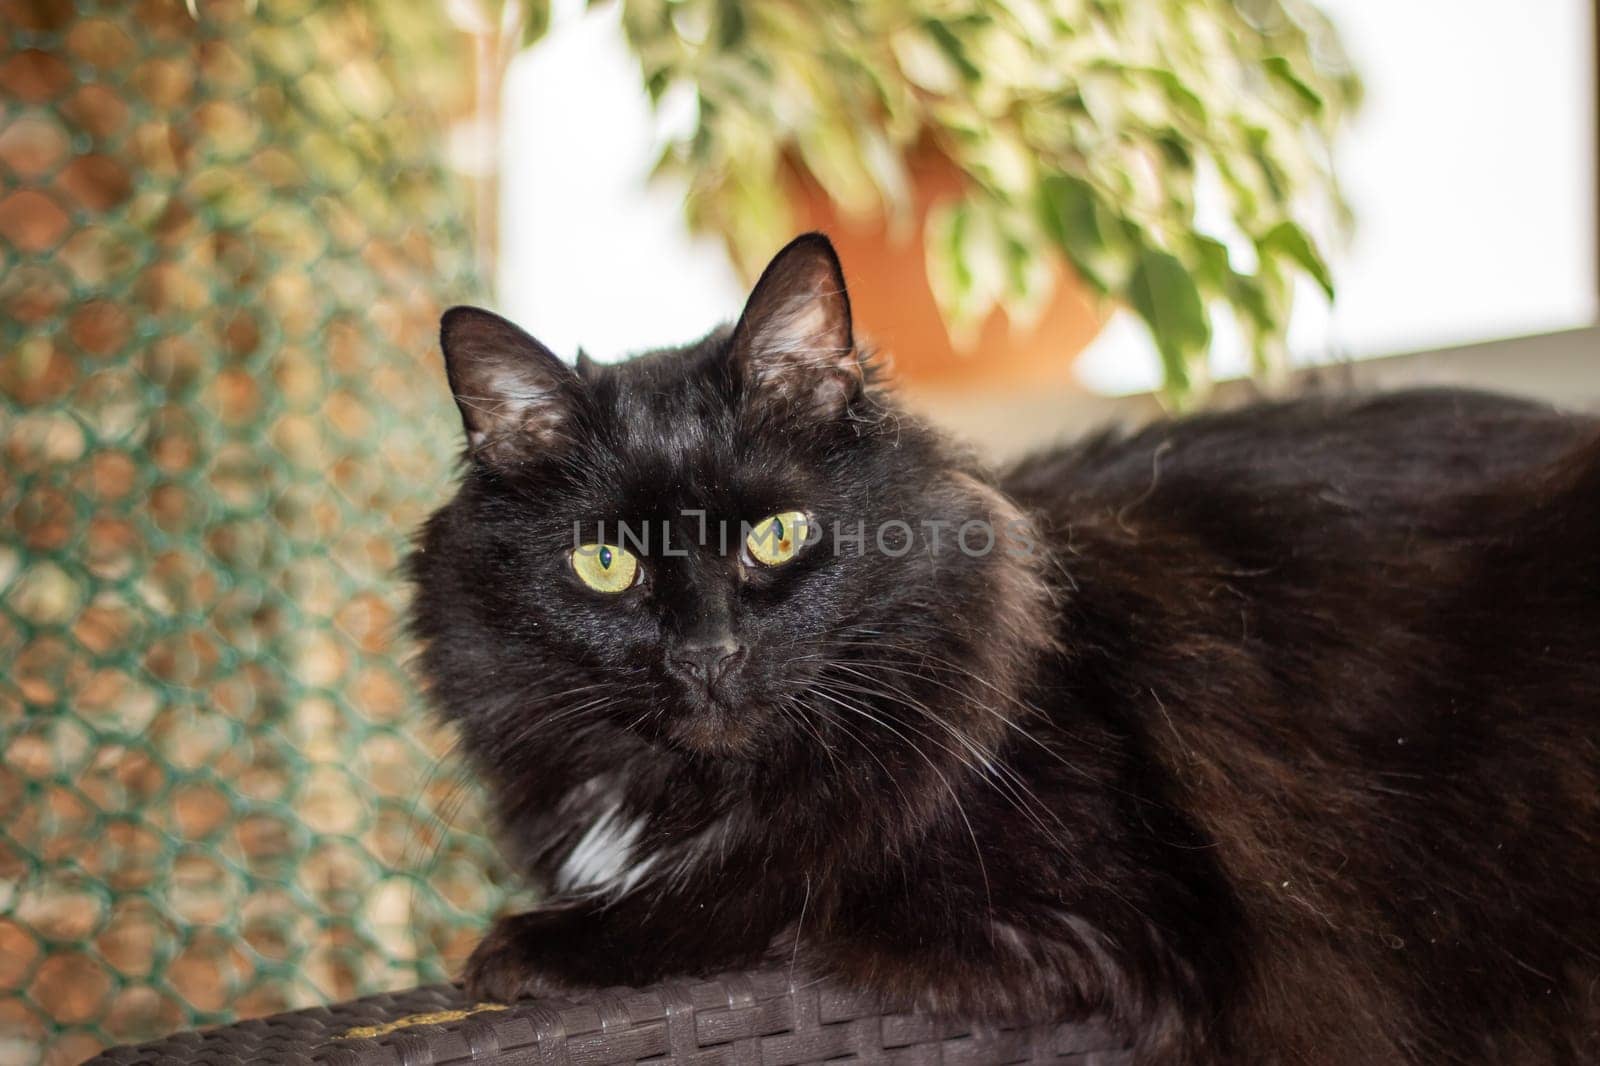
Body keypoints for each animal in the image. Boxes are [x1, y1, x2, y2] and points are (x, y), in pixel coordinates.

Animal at [412, 235, 1600, 1062]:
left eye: (776, 536)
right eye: (605, 564)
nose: (706, 653)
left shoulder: (1078, 911)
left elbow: (775, 882)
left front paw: (534, 946)